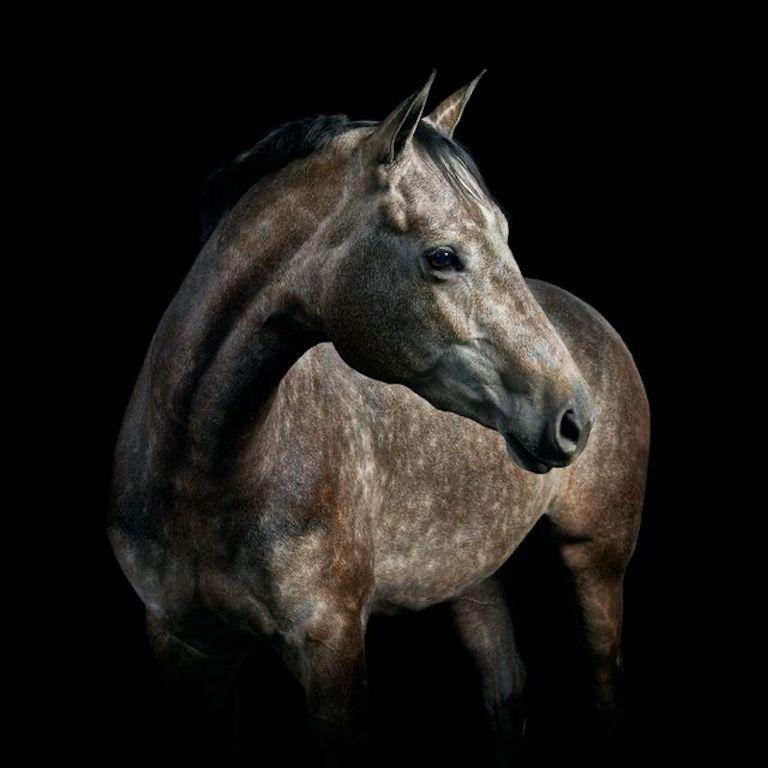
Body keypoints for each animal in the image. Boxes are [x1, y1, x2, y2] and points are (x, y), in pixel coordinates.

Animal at [108, 72, 649, 765]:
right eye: (442, 256)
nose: (575, 417)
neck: (207, 467)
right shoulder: (185, 649)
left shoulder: (332, 649)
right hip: (470, 573)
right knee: (506, 691)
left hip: (597, 559)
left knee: (605, 687)